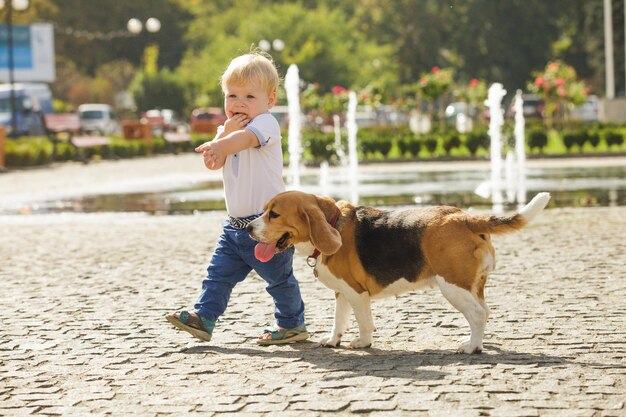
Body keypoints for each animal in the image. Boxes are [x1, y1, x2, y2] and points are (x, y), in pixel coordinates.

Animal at [246, 191, 548, 352]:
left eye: (274, 215)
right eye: (264, 211)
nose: (247, 228)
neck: (333, 222)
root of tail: (466, 217)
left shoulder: (356, 293)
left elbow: (363, 322)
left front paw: (363, 343)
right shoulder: (343, 292)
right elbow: (339, 320)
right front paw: (333, 341)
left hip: (453, 286)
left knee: (477, 314)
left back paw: (471, 347)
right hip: (473, 286)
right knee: (484, 312)